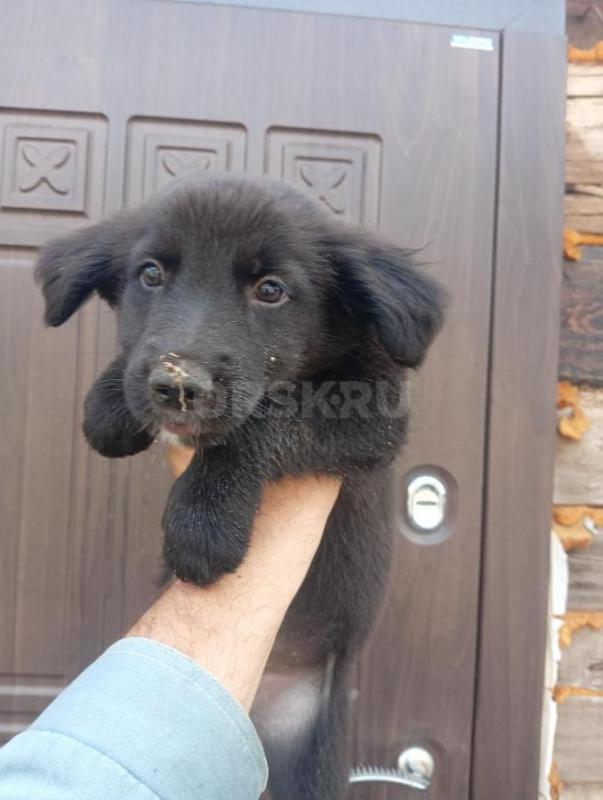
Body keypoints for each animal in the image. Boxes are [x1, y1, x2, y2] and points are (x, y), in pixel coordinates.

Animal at [35, 177, 446, 800]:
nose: (177, 387)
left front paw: (204, 523)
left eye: (270, 290)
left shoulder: (375, 414)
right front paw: (108, 407)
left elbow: (265, 421)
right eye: (150, 274)